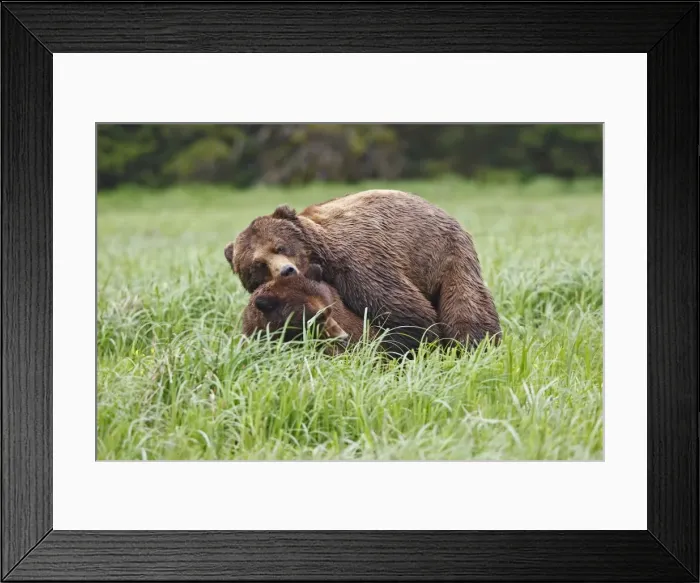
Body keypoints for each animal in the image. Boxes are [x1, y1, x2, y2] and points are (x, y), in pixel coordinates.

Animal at [227, 189, 501, 352]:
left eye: (280, 246)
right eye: (257, 265)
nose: (287, 270)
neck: (323, 257)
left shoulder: (359, 263)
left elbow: (405, 312)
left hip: (447, 255)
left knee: (466, 306)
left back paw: (476, 345)